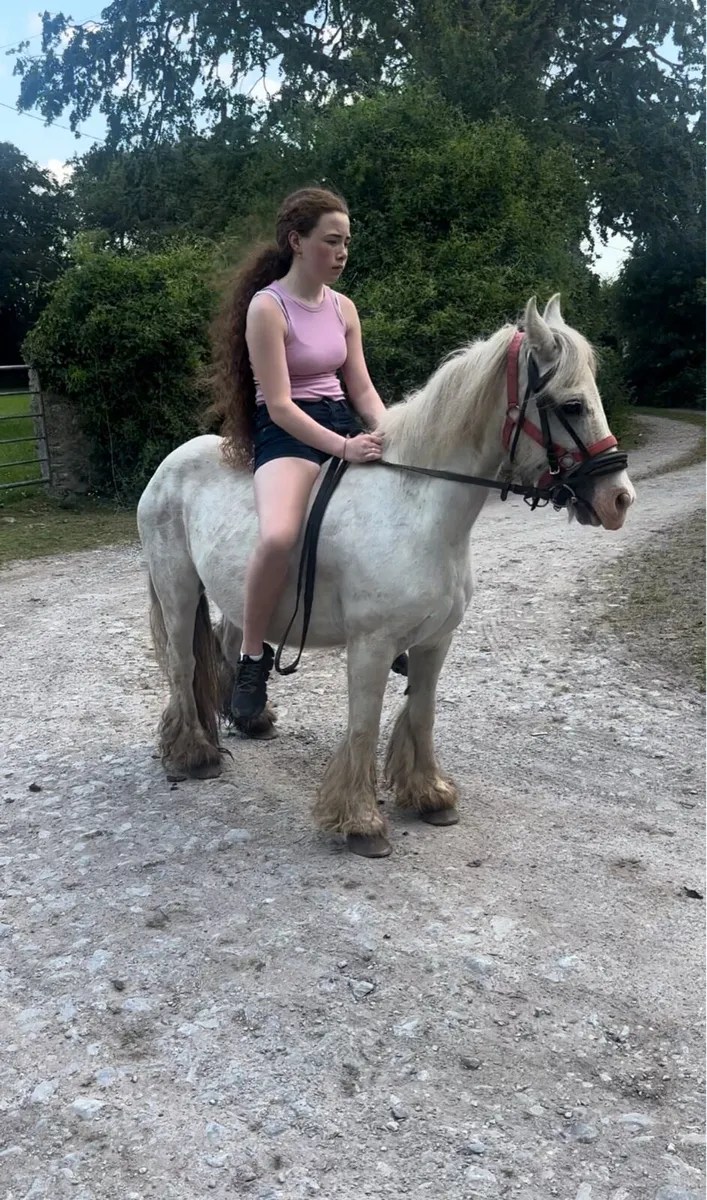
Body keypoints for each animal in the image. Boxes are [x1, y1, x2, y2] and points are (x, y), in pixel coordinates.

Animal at [137, 295, 635, 858]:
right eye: (571, 405)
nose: (620, 499)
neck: (419, 507)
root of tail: (170, 463)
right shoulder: (371, 647)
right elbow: (363, 726)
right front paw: (360, 822)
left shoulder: (436, 641)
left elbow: (421, 713)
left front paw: (429, 795)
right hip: (178, 591)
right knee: (182, 665)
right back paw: (193, 754)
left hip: (235, 596)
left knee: (229, 644)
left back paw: (248, 716)